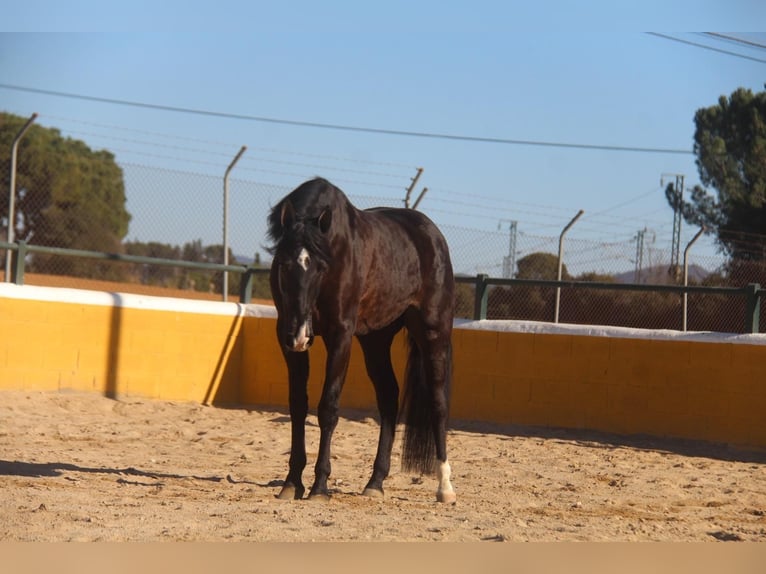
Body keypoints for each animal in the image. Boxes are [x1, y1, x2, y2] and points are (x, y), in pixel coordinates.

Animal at [268, 179, 456, 504]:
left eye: (320, 267)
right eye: (283, 264)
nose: (300, 334)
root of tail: (431, 234)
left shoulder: (340, 335)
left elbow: (328, 408)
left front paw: (319, 486)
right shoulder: (287, 339)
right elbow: (298, 406)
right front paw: (292, 482)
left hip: (433, 332)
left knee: (438, 403)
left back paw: (445, 487)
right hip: (375, 340)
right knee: (389, 398)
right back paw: (375, 481)